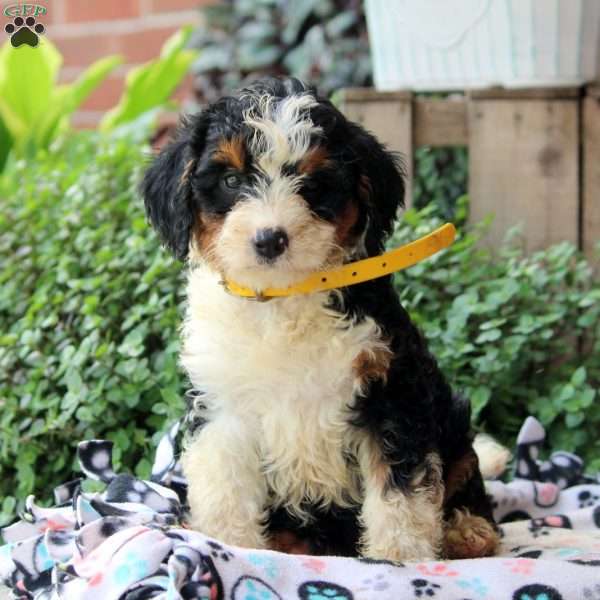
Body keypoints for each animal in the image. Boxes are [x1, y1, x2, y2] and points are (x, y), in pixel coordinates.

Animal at [141, 76, 496, 564]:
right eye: (231, 180)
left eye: (312, 185)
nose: (269, 240)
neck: (283, 298)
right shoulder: (222, 407)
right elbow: (224, 486)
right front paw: (229, 545)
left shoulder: (391, 393)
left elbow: (401, 490)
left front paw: (400, 556)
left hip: (451, 423)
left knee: (464, 475)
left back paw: (468, 531)